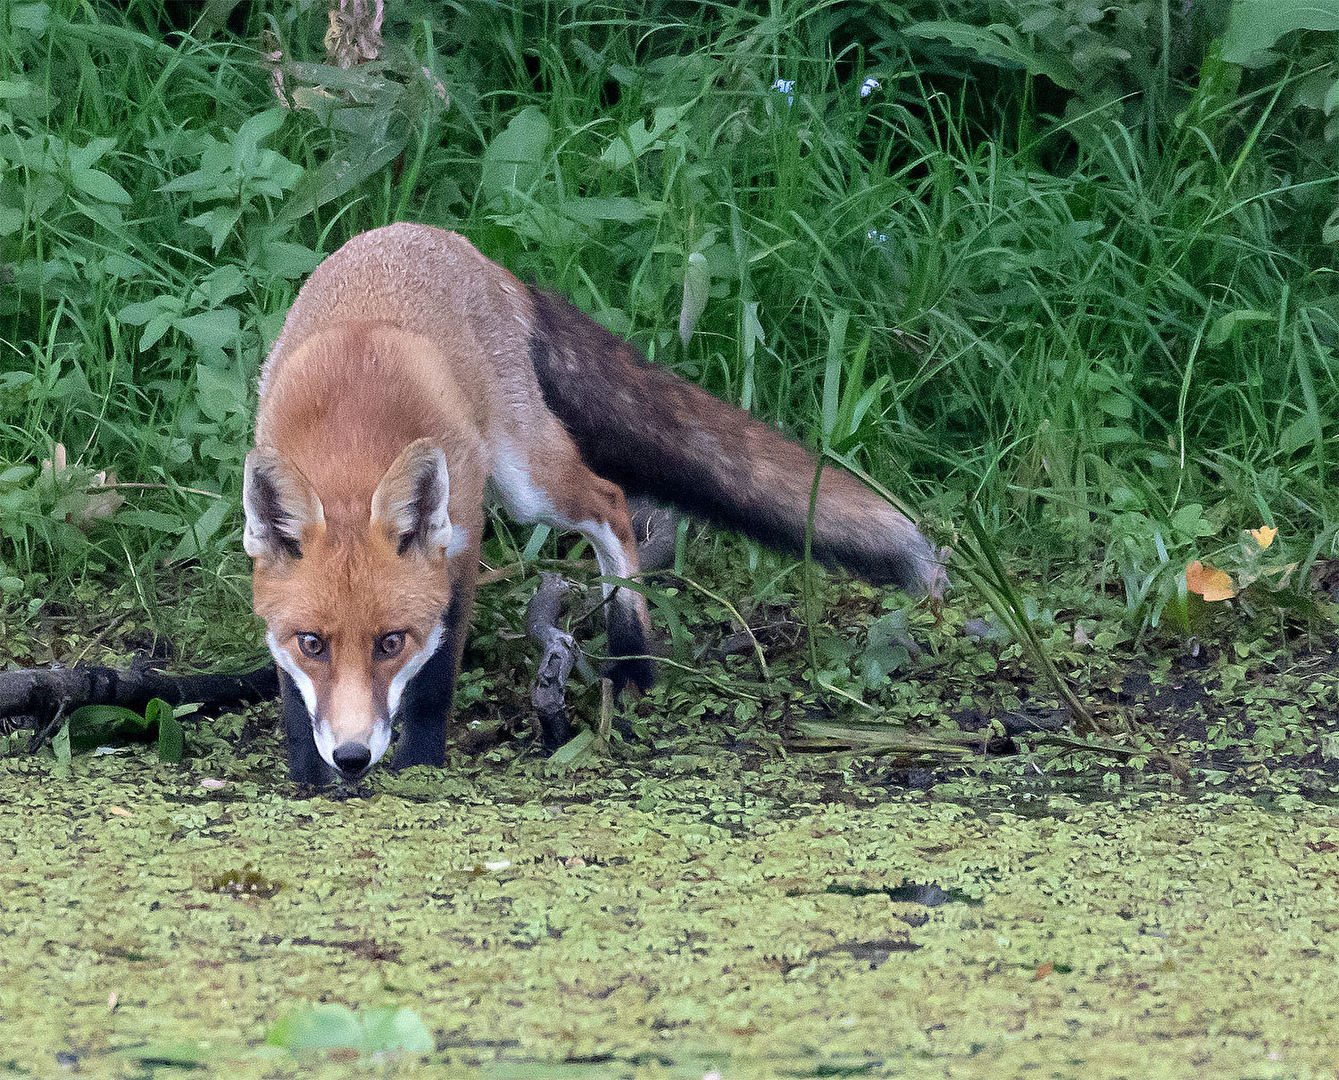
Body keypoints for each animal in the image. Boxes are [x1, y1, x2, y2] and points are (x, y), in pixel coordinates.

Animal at [246, 226, 948, 786]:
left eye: (392, 642)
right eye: (312, 644)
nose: (353, 758)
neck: (353, 436)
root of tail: (456, 244)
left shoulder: (461, 545)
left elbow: (433, 686)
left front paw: (422, 773)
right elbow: (295, 704)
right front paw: (308, 779)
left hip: (530, 482)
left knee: (611, 505)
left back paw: (632, 657)